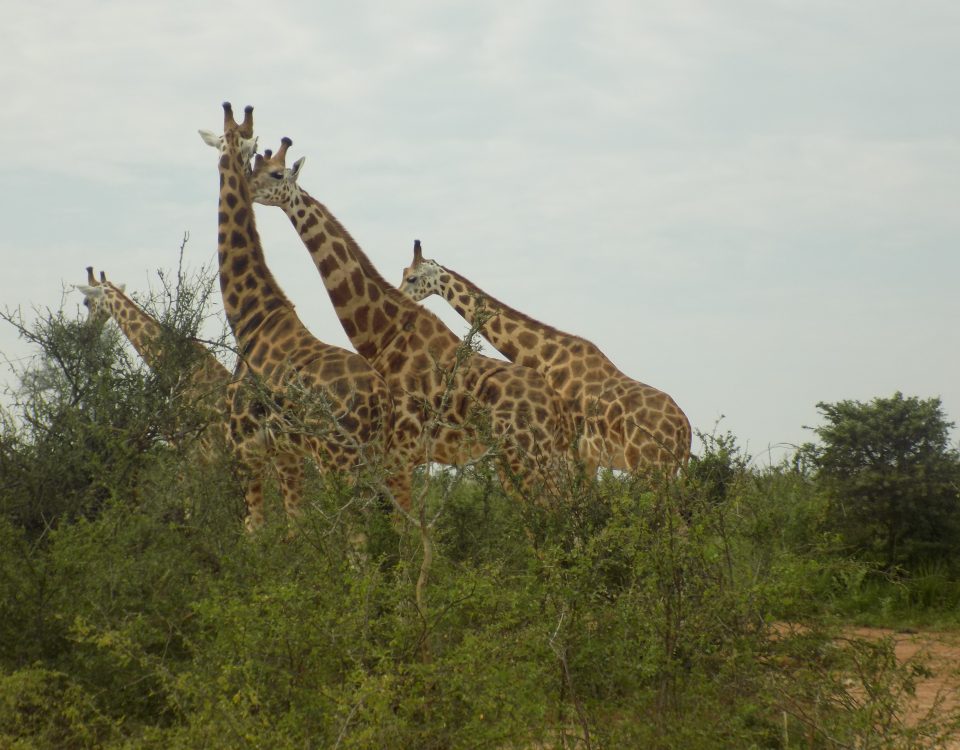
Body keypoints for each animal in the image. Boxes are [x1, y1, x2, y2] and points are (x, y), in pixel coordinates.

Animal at [197, 104, 406, 536]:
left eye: (274, 171)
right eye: (254, 157)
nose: (247, 184)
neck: (251, 318)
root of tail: (381, 400)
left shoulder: (244, 448)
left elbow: (255, 532)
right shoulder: (286, 454)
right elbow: (295, 528)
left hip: (337, 459)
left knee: (358, 534)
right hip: (377, 457)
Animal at [244, 137, 580, 496]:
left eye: (277, 174)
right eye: (255, 165)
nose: (244, 185)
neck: (382, 333)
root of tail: (558, 409)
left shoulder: (399, 451)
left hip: (527, 456)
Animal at [398, 242, 688, 476]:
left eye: (412, 278)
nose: (400, 296)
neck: (545, 358)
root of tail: (685, 430)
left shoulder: (568, 453)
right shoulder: (582, 458)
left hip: (649, 466)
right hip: (666, 470)